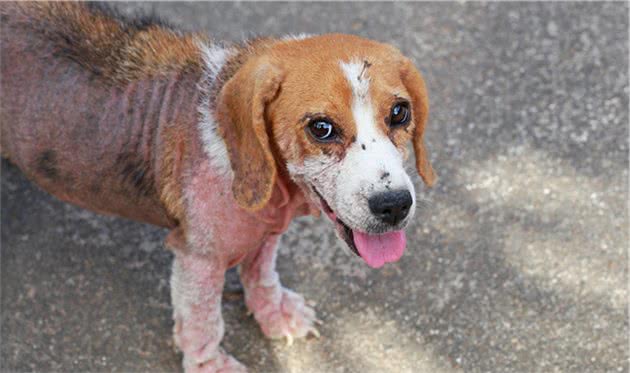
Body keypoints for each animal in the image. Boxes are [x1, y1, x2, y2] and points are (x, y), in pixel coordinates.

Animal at [0, 3, 436, 372]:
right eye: (321, 128)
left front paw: (274, 314)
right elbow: (204, 323)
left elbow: (262, 274)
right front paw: (210, 365)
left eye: (400, 112)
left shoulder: (266, 229)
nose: (394, 205)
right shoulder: (198, 260)